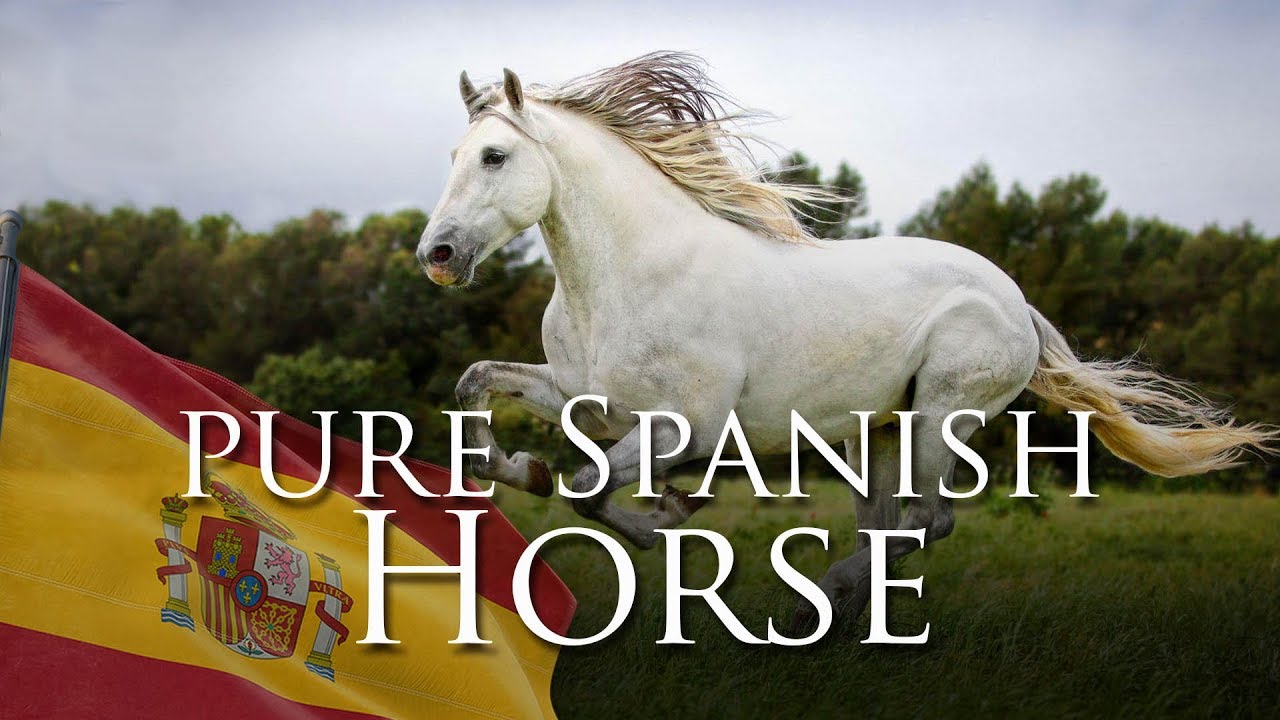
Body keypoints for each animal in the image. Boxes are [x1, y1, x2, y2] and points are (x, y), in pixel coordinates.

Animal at [414, 52, 1275, 627]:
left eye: (495, 156)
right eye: (452, 156)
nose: (438, 255)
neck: (630, 273)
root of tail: (1016, 301)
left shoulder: (690, 425)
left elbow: (589, 487)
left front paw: (669, 518)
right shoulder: (581, 395)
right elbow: (478, 387)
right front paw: (520, 466)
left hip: (941, 417)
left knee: (929, 522)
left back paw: (818, 602)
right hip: (876, 435)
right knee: (892, 526)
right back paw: (837, 616)